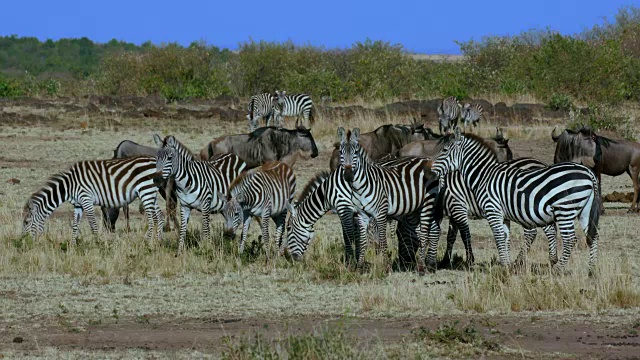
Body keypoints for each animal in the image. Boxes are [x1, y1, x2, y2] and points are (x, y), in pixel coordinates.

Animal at [336, 126, 440, 272]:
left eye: (356, 152)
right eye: (341, 152)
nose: (348, 175)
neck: (361, 186)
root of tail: (426, 159)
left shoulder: (381, 213)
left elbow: (383, 240)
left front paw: (386, 267)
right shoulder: (362, 214)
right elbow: (362, 241)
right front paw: (360, 267)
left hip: (428, 202)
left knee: (426, 231)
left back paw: (422, 266)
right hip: (416, 207)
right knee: (427, 229)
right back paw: (427, 263)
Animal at [430, 129, 600, 272]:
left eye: (444, 150)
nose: (431, 171)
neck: (483, 176)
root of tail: (588, 172)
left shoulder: (488, 209)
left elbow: (495, 237)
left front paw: (501, 266)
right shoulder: (502, 214)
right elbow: (504, 237)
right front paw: (506, 264)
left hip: (563, 209)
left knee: (569, 238)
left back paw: (557, 269)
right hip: (584, 210)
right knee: (593, 236)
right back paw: (592, 270)